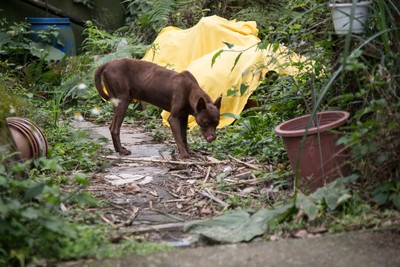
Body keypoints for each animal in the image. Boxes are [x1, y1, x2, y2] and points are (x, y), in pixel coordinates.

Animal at [95, 58, 223, 159]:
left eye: (216, 123)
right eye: (205, 123)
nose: (213, 138)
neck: (190, 90)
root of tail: (108, 63)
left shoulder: (184, 117)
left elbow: (184, 137)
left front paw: (188, 151)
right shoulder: (173, 119)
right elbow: (179, 139)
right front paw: (184, 155)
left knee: (112, 126)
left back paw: (119, 149)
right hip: (123, 102)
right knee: (115, 128)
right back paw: (121, 151)